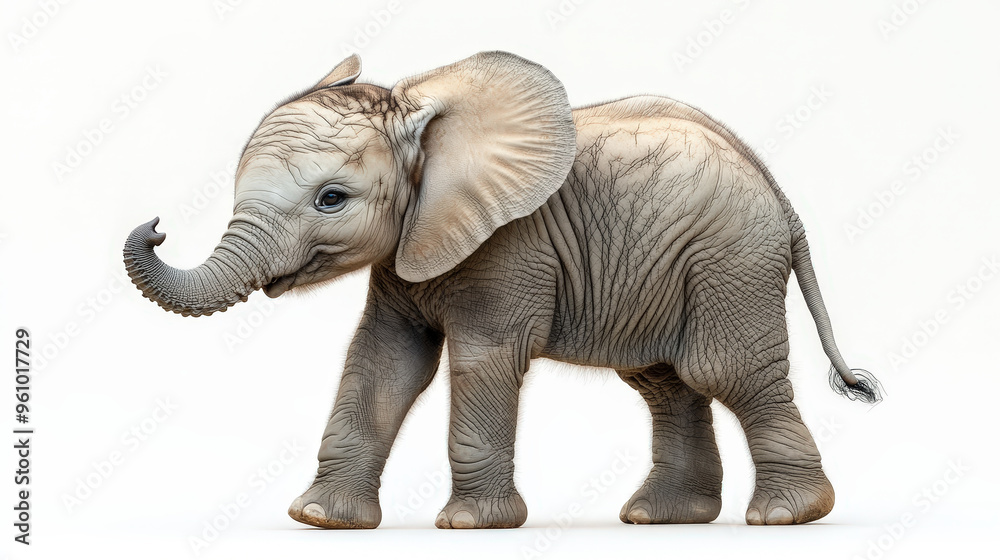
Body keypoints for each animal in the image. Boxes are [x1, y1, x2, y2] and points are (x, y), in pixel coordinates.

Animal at [123, 51, 881, 529]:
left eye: (331, 199)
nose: (155, 226)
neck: (422, 118)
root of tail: (778, 193)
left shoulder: (511, 246)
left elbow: (481, 360)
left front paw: (468, 526)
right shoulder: (409, 250)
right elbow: (384, 361)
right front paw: (318, 520)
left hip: (731, 260)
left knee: (723, 371)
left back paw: (784, 516)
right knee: (665, 382)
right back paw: (658, 518)